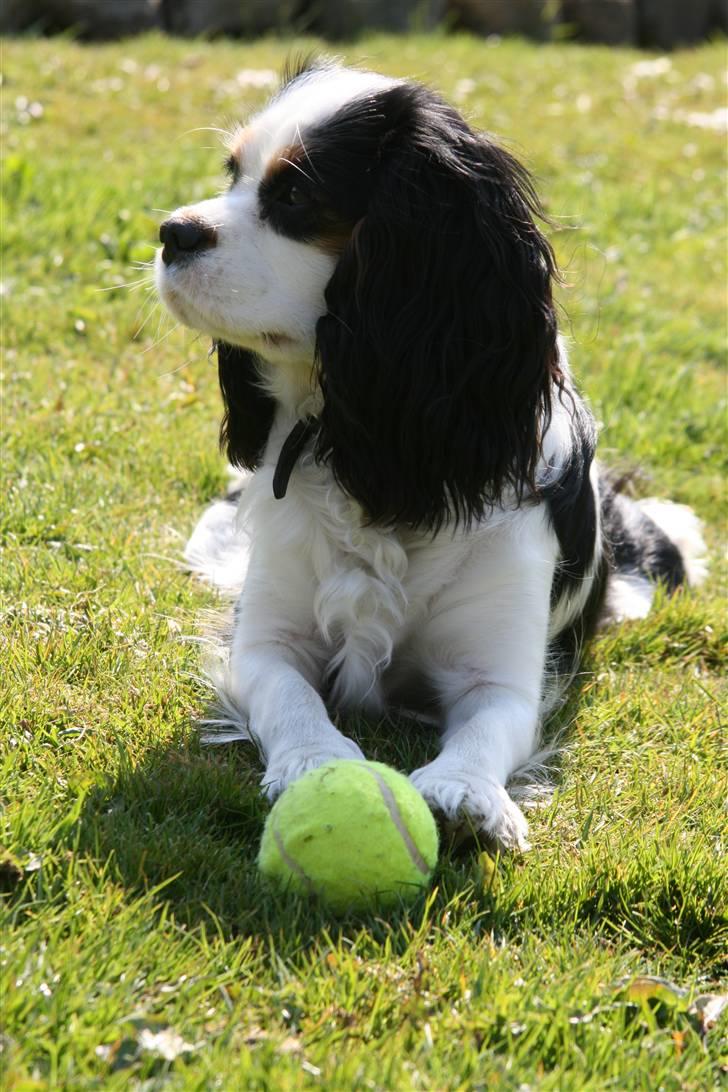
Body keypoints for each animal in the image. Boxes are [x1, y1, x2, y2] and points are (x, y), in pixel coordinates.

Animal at [153, 55, 707, 847]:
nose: (171, 231)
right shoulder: (266, 642)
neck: (368, 440)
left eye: (293, 194)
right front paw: (320, 765)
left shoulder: (501, 676)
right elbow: (293, 698)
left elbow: (484, 726)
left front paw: (463, 790)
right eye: (232, 174)